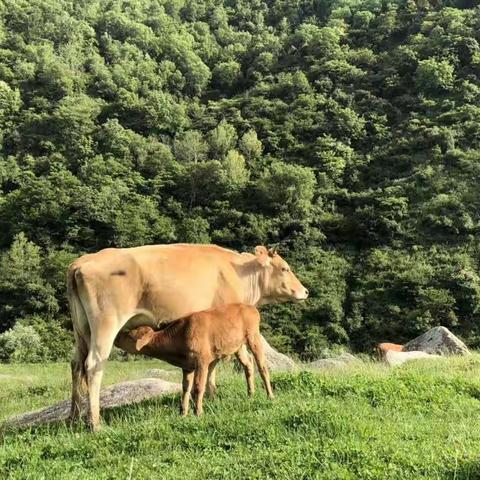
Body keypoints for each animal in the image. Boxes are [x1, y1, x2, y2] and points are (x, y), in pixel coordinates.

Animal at [114, 304, 274, 416]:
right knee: (248, 365)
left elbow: (198, 386)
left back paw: (270, 396)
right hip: (237, 346)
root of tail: (250, 307)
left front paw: (198, 412)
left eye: (128, 334)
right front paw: (183, 413)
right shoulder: (187, 366)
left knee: (262, 367)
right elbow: (185, 387)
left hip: (253, 337)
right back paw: (250, 394)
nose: (115, 337)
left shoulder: (201, 361)